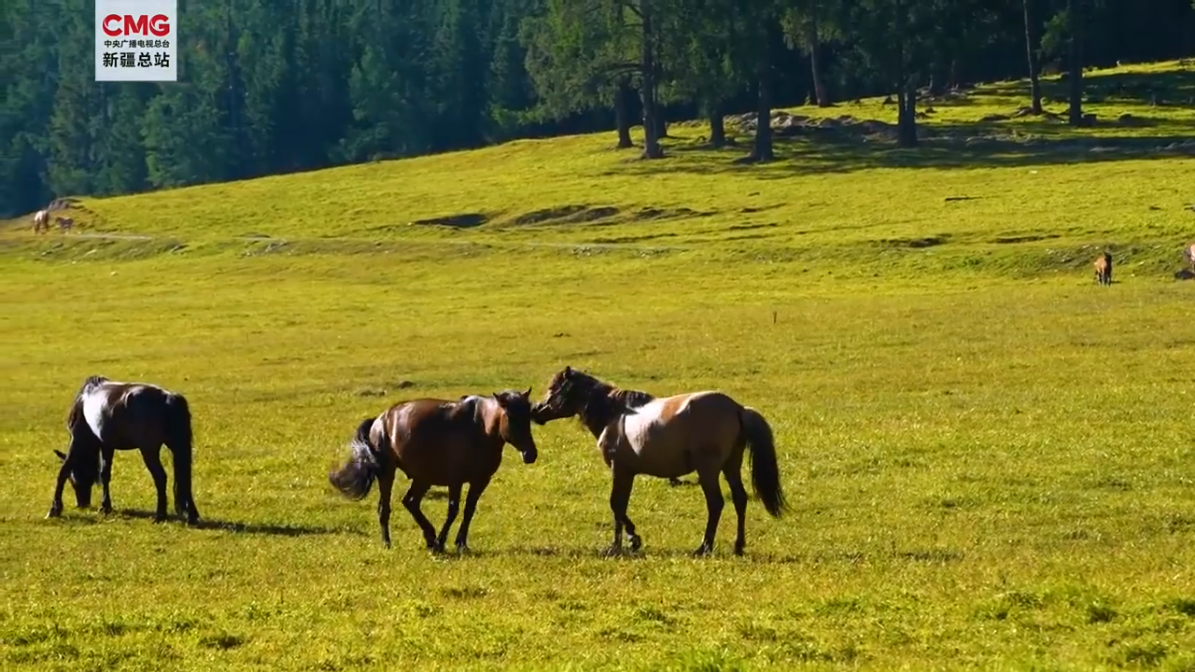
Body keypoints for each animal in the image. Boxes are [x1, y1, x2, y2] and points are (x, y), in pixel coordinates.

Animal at [47, 375, 201, 524]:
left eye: (72, 480)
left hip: (149, 450)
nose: (82, 504)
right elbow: (105, 475)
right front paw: (105, 507)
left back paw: (160, 515)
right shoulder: (107, 445)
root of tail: (169, 398)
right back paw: (191, 515)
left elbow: (63, 472)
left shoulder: (78, 441)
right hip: (178, 447)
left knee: (160, 477)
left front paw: (54, 509)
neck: (83, 401)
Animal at [328, 388, 539, 552]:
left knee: (410, 502)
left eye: (529, 416)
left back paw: (429, 537)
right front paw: (441, 542)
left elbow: (469, 510)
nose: (530, 454)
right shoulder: (455, 480)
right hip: (388, 473)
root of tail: (380, 420)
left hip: (422, 477)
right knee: (385, 508)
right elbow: (453, 510)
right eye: (510, 416)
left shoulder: (480, 480)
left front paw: (460, 543)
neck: (480, 427)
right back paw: (388, 543)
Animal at [530, 366, 787, 557]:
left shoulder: (619, 470)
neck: (614, 414)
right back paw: (737, 546)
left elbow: (616, 505)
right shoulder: (628, 472)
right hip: (730, 465)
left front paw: (621, 545)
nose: (535, 410)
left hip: (708, 470)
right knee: (739, 499)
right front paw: (631, 540)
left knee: (716, 503)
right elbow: (621, 506)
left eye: (554, 389)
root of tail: (737, 408)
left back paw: (704, 547)